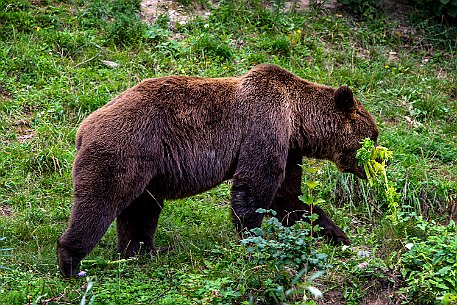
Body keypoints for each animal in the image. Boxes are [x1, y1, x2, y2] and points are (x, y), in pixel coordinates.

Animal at [57, 63, 378, 276]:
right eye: (372, 136)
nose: (378, 164)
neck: (297, 119)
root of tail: (84, 127)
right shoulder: (264, 126)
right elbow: (255, 187)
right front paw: (252, 240)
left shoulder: (289, 150)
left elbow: (289, 198)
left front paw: (337, 233)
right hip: (125, 149)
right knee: (101, 202)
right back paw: (71, 261)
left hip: (148, 168)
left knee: (142, 208)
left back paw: (144, 251)